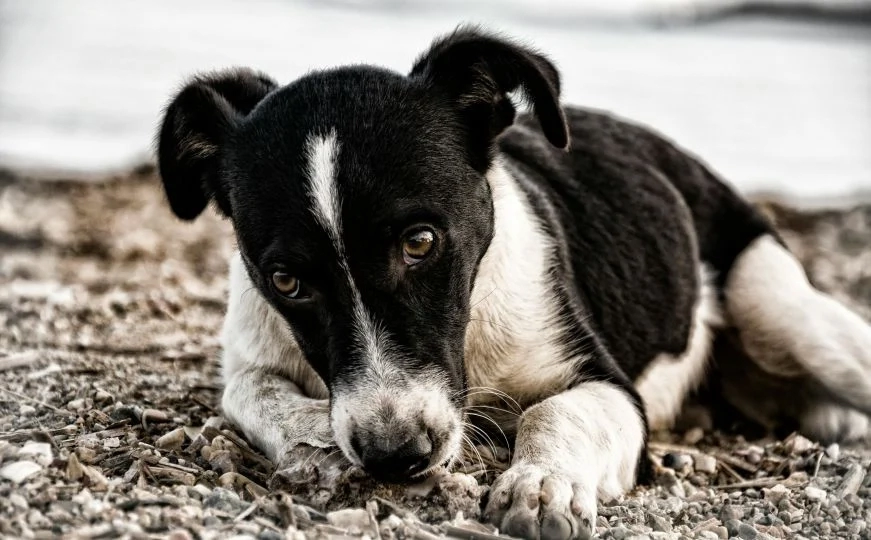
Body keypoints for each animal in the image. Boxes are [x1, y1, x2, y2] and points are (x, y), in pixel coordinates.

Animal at [155, 26, 871, 540]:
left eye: (420, 242)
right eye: (286, 280)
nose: (396, 455)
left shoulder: (608, 387)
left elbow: (555, 410)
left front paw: (542, 484)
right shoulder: (251, 352)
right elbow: (254, 394)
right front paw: (316, 441)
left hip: (780, 310)